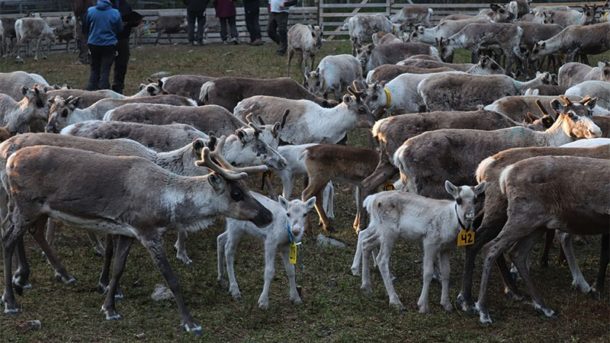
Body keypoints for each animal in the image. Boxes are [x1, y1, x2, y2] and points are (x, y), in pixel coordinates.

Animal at [352, 181, 484, 314]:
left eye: (475, 199)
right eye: (458, 200)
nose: (469, 216)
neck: (451, 221)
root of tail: (371, 200)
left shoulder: (446, 248)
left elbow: (446, 272)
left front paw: (446, 304)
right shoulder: (430, 242)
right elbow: (428, 272)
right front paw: (423, 305)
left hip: (380, 230)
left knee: (366, 242)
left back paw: (366, 286)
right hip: (388, 232)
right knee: (382, 259)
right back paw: (395, 301)